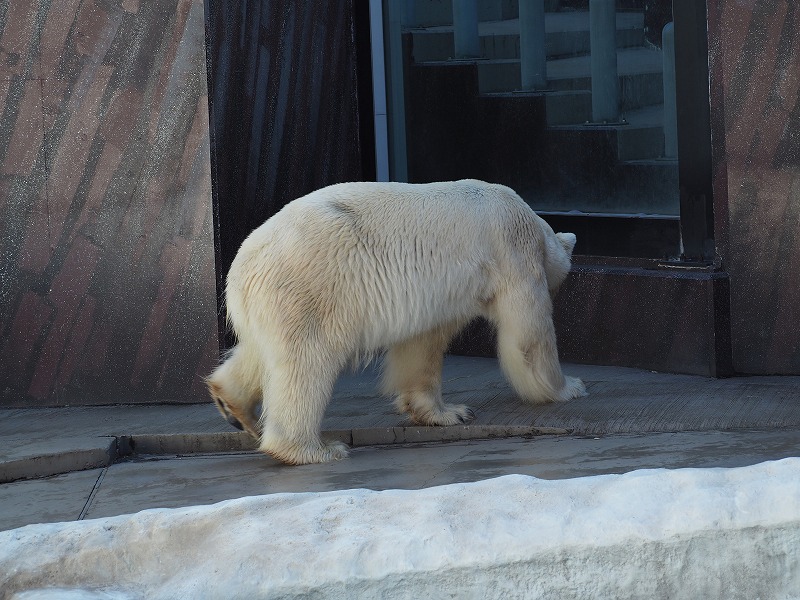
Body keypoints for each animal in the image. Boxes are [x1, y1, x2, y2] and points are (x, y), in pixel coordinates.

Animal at [208, 180, 588, 466]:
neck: (532, 222)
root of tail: (241, 268)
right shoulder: (512, 250)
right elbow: (528, 334)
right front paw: (569, 386)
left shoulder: (434, 297)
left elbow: (422, 345)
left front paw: (447, 412)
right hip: (310, 292)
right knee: (306, 364)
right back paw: (314, 450)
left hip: (269, 305)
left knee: (259, 354)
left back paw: (233, 405)